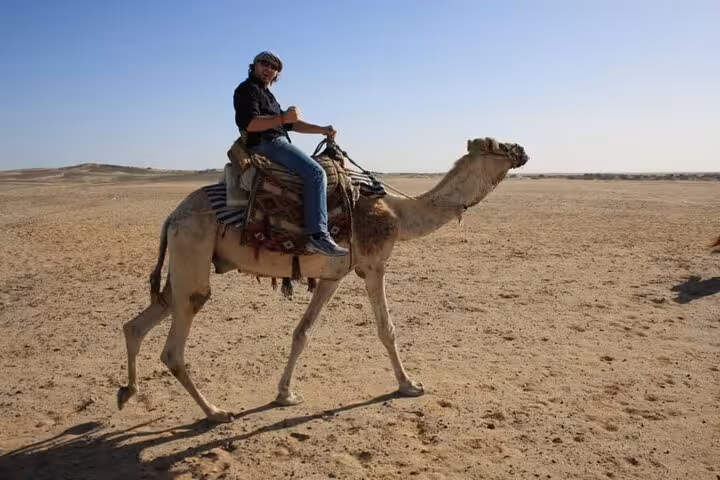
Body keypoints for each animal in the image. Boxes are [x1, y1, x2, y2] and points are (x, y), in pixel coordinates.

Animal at [117, 137, 529, 423]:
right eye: (495, 144)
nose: (522, 150)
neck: (399, 214)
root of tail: (172, 216)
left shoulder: (334, 275)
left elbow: (302, 333)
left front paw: (285, 394)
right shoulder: (373, 265)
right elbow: (387, 329)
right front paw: (409, 385)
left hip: (183, 266)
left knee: (139, 322)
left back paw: (129, 391)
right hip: (192, 251)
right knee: (176, 342)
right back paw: (216, 412)